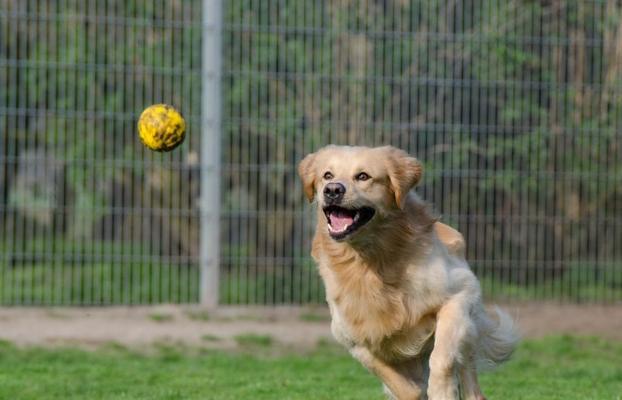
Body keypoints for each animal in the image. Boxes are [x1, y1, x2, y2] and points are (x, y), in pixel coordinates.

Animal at [300, 146, 520, 400]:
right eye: (327, 175)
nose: (333, 190)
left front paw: (442, 390)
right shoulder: (355, 341)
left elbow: (442, 358)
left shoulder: (460, 295)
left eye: (363, 176)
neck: (371, 261)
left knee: (468, 374)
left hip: (468, 328)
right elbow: (406, 387)